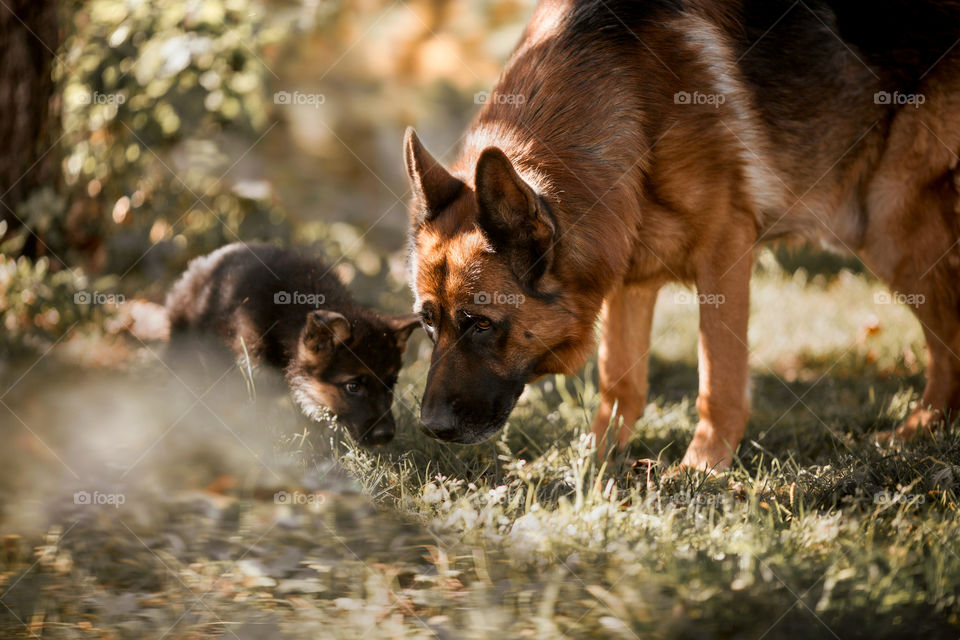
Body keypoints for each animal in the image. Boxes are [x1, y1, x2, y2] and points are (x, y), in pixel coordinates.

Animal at [402, 0, 960, 470]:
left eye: (480, 323)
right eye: (428, 323)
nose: (430, 428)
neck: (628, 95)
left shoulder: (726, 253)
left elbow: (719, 379)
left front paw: (702, 470)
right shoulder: (629, 273)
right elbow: (620, 382)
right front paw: (595, 463)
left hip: (891, 228)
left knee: (948, 344)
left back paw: (914, 434)